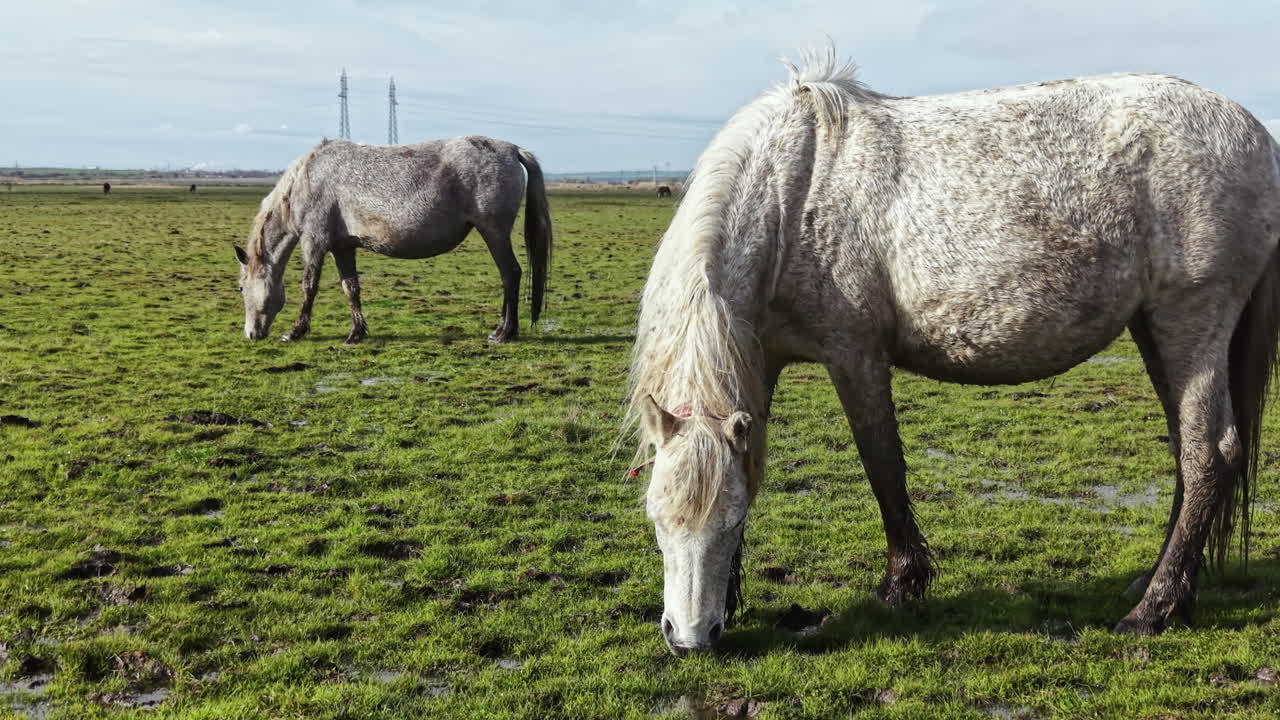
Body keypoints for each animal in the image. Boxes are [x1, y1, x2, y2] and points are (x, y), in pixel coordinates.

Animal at [235, 136, 552, 344]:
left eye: (240, 288)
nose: (250, 334)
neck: (307, 179)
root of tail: (512, 150)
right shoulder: (342, 247)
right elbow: (351, 288)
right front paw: (356, 333)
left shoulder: (314, 242)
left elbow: (308, 286)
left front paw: (295, 331)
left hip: (494, 233)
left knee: (511, 274)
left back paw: (504, 332)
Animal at [626, 48, 1280, 655]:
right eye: (656, 518)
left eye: (732, 520)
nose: (690, 637)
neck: (793, 191)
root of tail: (1257, 138)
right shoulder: (760, 360)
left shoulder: (854, 355)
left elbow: (882, 466)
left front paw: (901, 585)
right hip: (1154, 329)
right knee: (1186, 452)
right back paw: (1160, 585)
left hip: (1192, 319)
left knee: (1208, 455)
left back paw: (1155, 607)